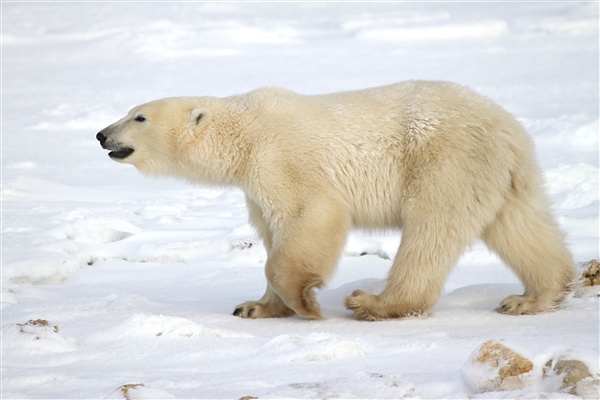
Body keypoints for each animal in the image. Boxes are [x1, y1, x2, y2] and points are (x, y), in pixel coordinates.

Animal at [96, 82, 576, 322]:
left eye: (138, 116)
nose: (102, 134)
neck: (245, 132)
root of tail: (508, 128)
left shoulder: (281, 159)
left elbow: (308, 218)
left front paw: (306, 305)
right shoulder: (255, 186)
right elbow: (271, 233)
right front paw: (255, 307)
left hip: (444, 159)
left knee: (431, 230)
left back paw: (375, 303)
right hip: (500, 175)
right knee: (520, 226)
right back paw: (532, 297)